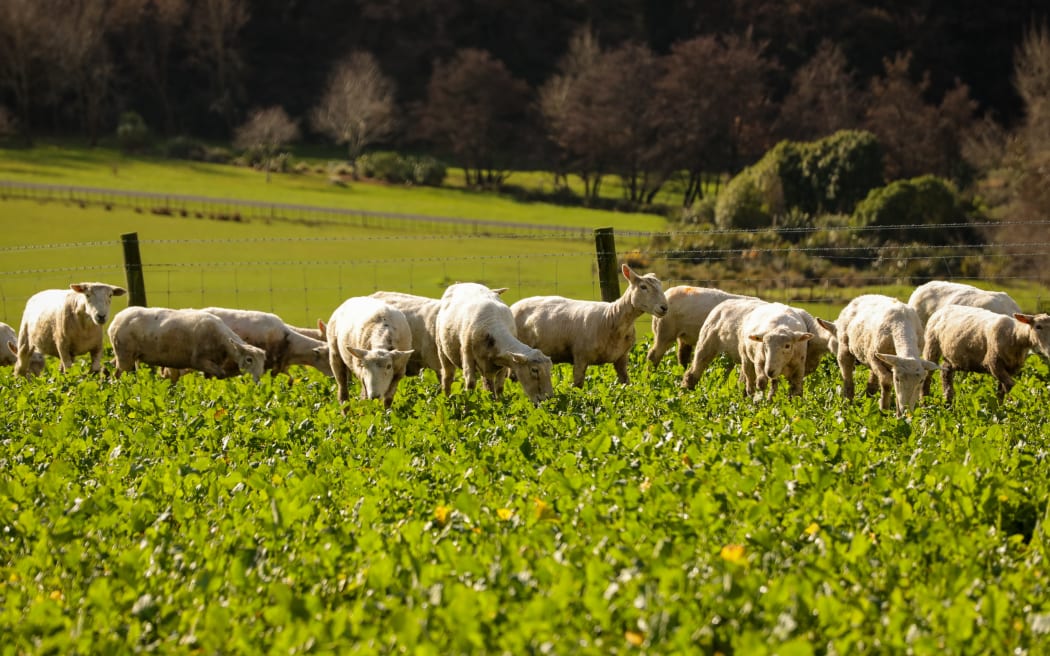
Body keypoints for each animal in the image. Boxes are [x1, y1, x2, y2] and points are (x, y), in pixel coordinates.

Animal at [106, 306, 266, 382]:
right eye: (249, 360)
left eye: (263, 362)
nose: (258, 381)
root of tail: (116, 319)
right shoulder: (199, 360)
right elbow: (221, 374)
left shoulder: (211, 364)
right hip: (124, 355)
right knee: (118, 374)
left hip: (125, 354)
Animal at [512, 263, 667, 386]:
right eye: (643, 287)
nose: (664, 307)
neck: (611, 318)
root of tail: (515, 304)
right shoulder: (580, 357)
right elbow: (577, 386)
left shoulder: (622, 358)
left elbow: (626, 384)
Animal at [919, 304, 1050, 400]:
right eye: (1038, 326)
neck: (1014, 335)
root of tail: (943, 308)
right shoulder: (994, 363)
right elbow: (1010, 386)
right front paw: (1012, 404)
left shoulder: (1012, 368)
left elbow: (1001, 391)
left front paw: (999, 410)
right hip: (931, 345)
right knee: (927, 376)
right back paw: (924, 403)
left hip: (956, 357)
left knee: (945, 371)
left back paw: (948, 402)